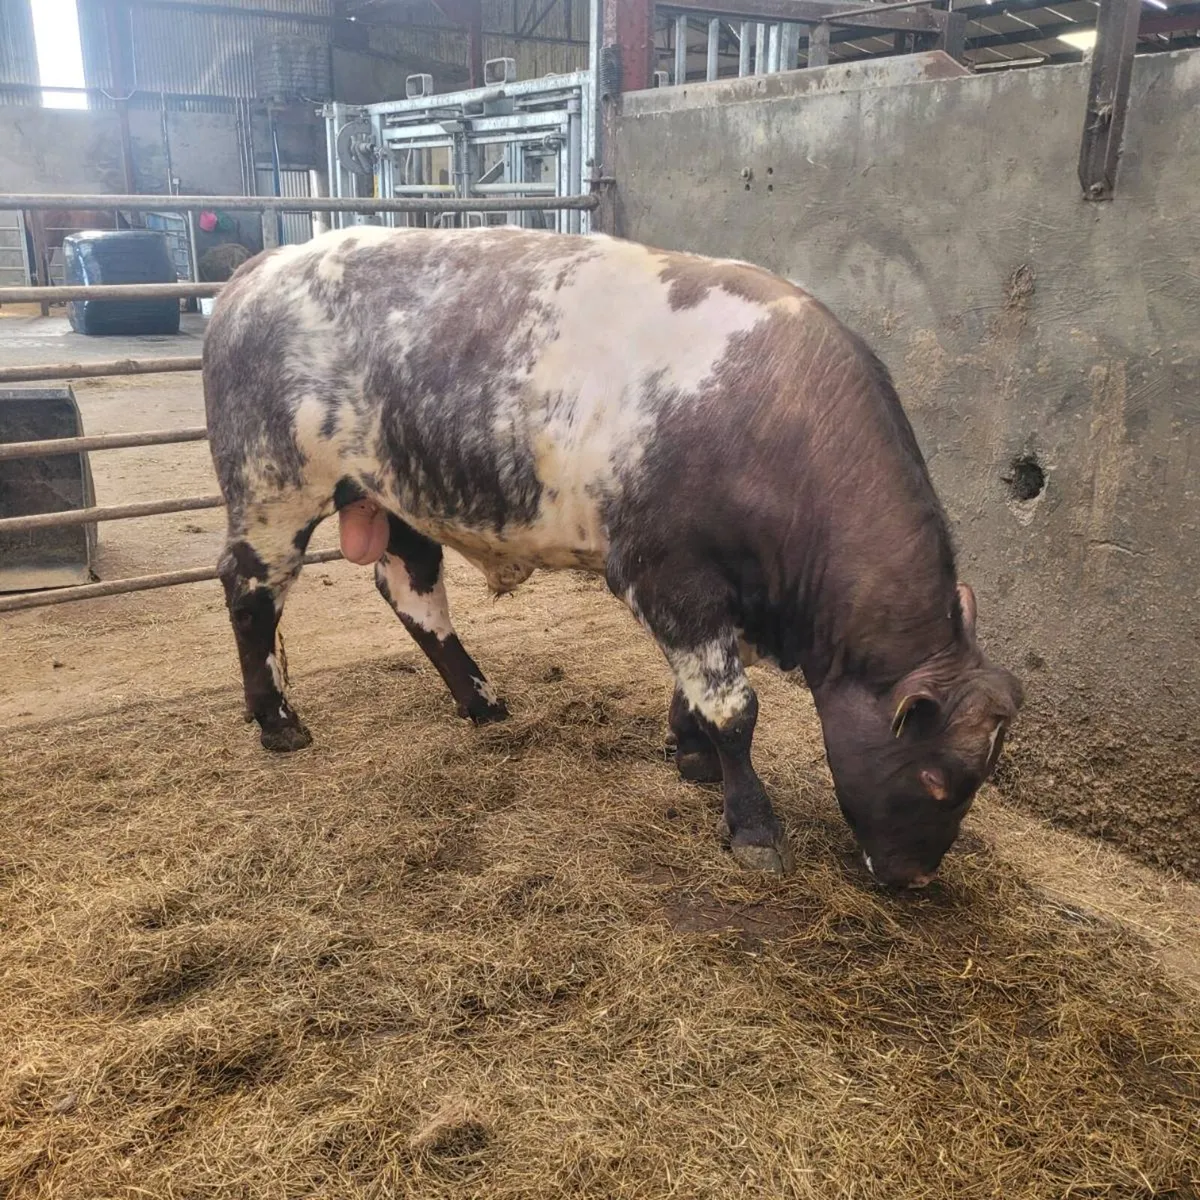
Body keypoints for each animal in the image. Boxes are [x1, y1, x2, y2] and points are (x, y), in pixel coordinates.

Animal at [202, 225, 1023, 889]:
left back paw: (482, 699)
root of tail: (261, 268)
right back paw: (278, 719)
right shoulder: (671, 579)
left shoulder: (723, 598)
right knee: (251, 590)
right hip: (274, 490)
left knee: (411, 592)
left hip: (398, 498)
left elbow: (701, 691)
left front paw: (689, 753)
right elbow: (735, 708)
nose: (915, 879)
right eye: (938, 777)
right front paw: (753, 824)